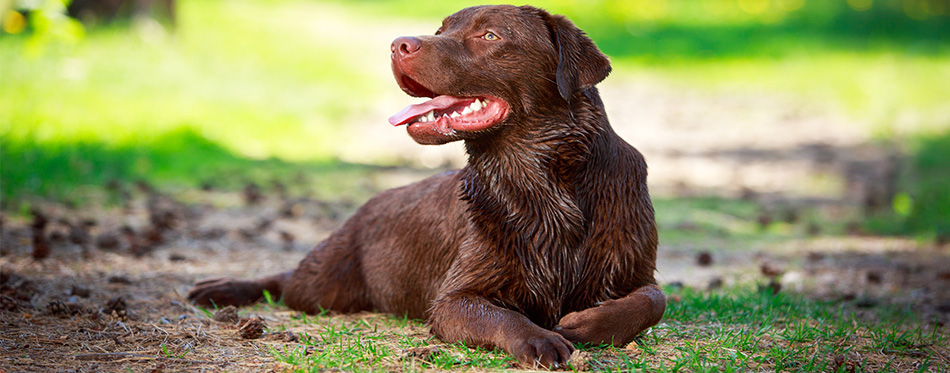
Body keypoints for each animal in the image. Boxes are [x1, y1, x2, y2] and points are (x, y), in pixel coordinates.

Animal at [190, 4, 664, 368]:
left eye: (489, 35)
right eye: (441, 30)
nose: (398, 44)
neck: (542, 179)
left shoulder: (635, 266)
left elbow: (652, 300)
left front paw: (588, 323)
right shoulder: (454, 298)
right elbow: (504, 318)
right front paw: (540, 338)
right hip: (324, 284)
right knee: (285, 279)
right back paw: (219, 289)